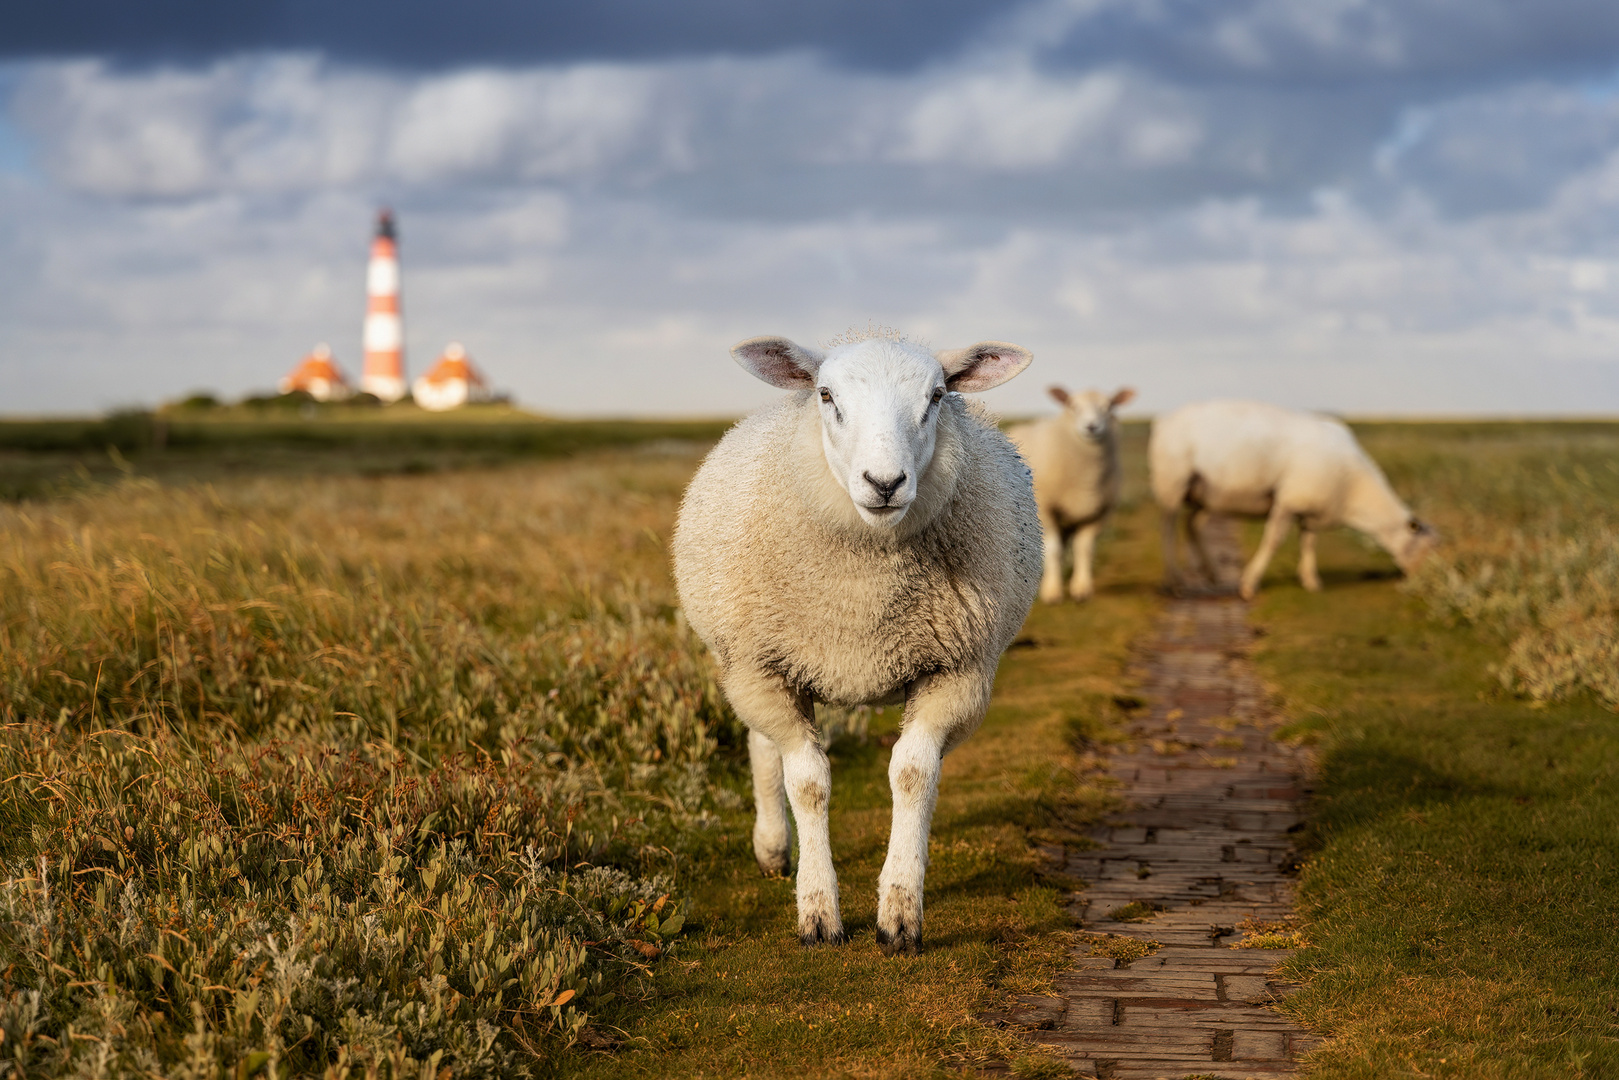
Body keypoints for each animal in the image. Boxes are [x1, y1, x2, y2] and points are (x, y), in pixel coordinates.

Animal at [667, 331, 1036, 952]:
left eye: (937, 395)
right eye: (825, 394)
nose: (884, 484)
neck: (864, 595)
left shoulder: (958, 672)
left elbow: (913, 775)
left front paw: (900, 913)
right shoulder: (766, 668)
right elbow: (807, 783)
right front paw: (818, 913)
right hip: (748, 662)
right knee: (763, 746)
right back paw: (773, 847)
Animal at [1003, 386, 1133, 608]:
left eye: (1108, 407)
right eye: (1074, 406)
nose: (1092, 427)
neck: (1086, 478)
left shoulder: (1098, 514)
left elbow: (1085, 549)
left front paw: (1081, 589)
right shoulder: (1047, 510)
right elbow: (1053, 550)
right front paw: (1052, 593)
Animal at [1146, 396, 1437, 599]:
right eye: (1427, 547)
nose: (1425, 583)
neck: (1354, 489)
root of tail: (1163, 421)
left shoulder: (1310, 508)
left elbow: (1308, 542)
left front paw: (1310, 580)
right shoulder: (1288, 501)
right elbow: (1273, 541)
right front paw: (1249, 584)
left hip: (1204, 494)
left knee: (1190, 526)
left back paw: (1211, 574)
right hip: (1172, 483)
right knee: (1167, 530)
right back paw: (1174, 582)